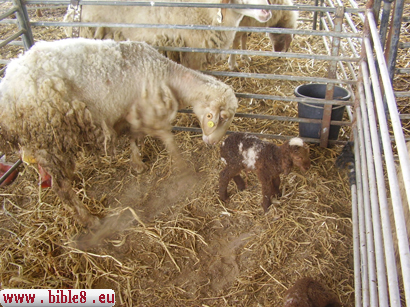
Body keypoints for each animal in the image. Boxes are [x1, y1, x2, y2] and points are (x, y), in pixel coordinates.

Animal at [0, 37, 239, 227]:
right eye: (220, 118)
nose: (211, 143)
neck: (165, 74)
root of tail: (9, 91)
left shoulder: (132, 112)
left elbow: (135, 139)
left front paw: (138, 164)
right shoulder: (150, 114)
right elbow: (168, 140)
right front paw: (183, 168)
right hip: (48, 135)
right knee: (61, 188)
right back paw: (88, 218)